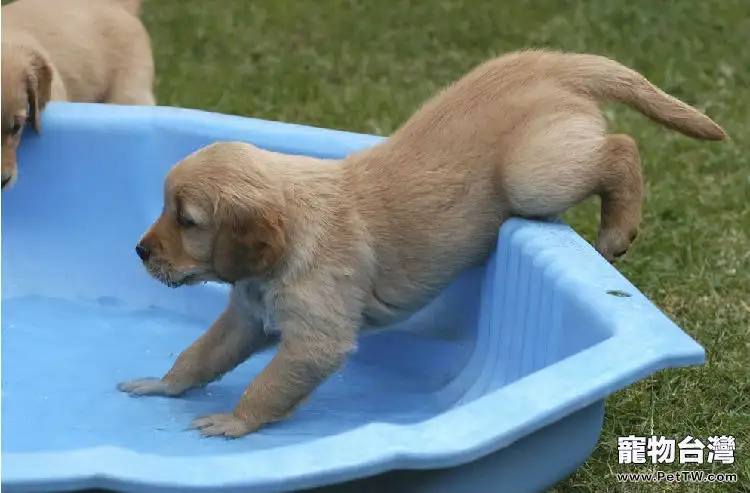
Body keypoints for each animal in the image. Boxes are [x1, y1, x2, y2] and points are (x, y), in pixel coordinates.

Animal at [119, 50, 728, 436]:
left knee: (621, 147)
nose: (140, 252)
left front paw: (236, 421)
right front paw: (165, 385)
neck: (293, 237)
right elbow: (202, 353)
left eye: (186, 219)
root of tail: (546, 61)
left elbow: (270, 384)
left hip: (535, 176)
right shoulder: (246, 316)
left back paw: (618, 228)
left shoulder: (316, 336)